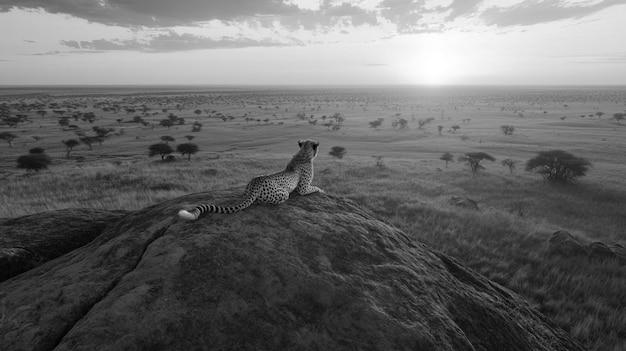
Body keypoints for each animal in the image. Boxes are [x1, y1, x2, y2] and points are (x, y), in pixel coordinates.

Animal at [176, 140, 322, 220]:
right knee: (269, 200)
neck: (303, 154)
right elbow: (312, 188)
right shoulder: (303, 188)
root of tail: (254, 184)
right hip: (283, 193)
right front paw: (321, 190)